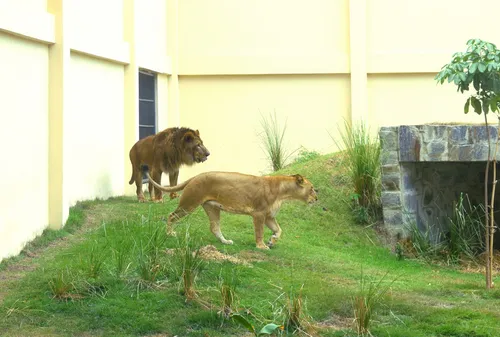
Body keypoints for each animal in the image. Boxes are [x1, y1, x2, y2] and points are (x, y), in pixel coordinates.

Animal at [143, 165, 318, 249]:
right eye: (311, 188)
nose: (316, 198)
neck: (283, 193)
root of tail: (196, 176)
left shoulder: (269, 216)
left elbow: (279, 230)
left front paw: (272, 240)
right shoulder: (259, 213)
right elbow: (259, 232)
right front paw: (262, 246)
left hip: (212, 208)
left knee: (214, 228)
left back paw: (225, 241)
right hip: (189, 203)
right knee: (171, 215)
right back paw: (170, 233)